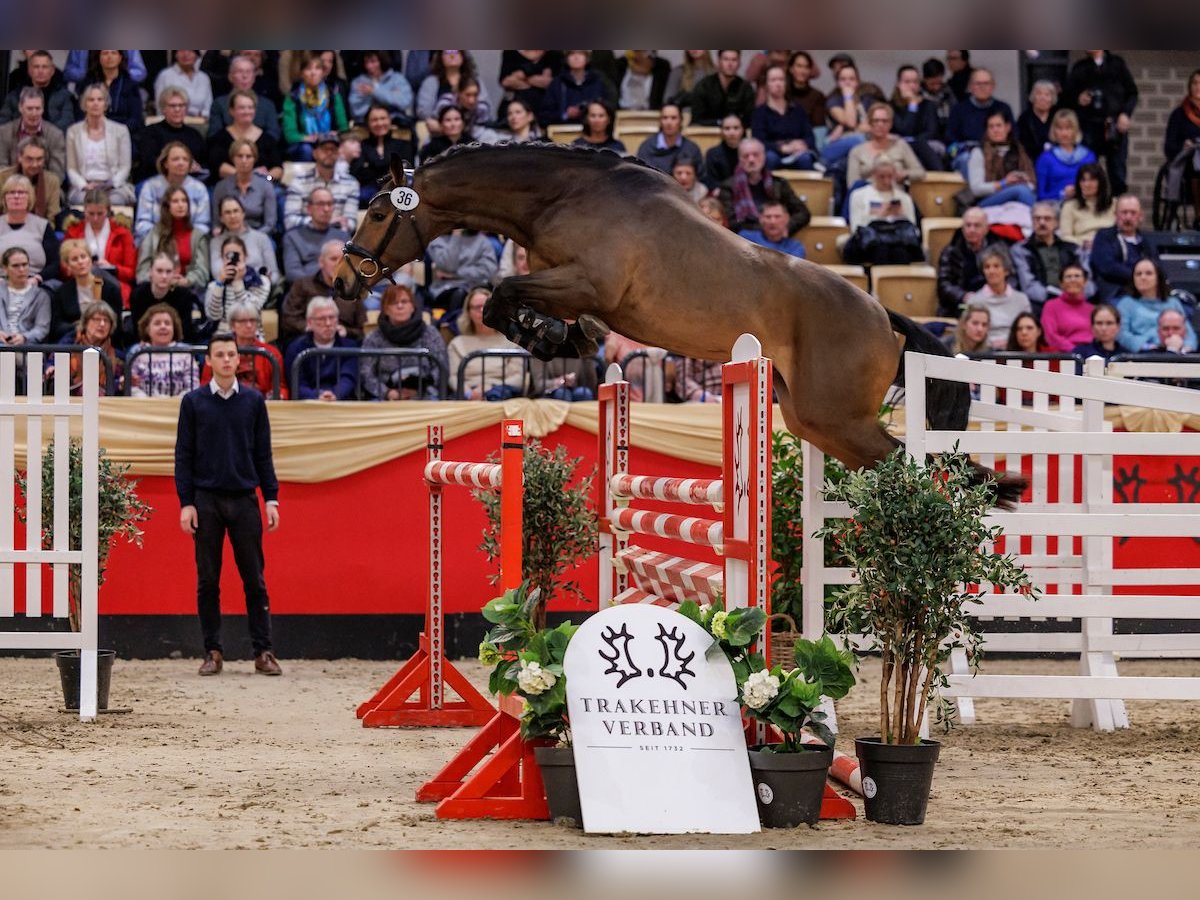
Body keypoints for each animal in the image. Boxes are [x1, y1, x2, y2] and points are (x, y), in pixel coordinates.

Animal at [336, 143, 1022, 504]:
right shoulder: (570, 285)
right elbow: (505, 303)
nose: (343, 281)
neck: (565, 194)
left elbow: (501, 295)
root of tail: (883, 316)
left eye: (378, 213)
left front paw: (549, 335)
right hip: (815, 419)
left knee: (913, 465)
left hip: (838, 417)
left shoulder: (589, 282)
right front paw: (563, 336)